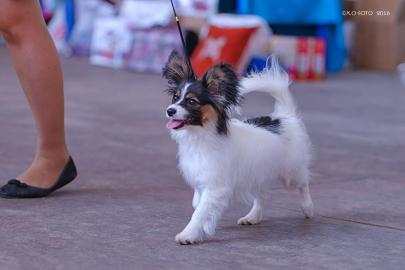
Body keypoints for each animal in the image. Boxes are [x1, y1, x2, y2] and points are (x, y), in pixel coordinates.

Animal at [161, 50, 312, 245]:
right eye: (175, 97)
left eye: (191, 101)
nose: (170, 110)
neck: (199, 136)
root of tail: (283, 116)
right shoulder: (202, 181)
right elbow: (198, 204)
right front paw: (207, 225)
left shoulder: (215, 187)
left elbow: (199, 212)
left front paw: (189, 234)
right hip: (257, 173)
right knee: (262, 196)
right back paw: (253, 217)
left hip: (290, 174)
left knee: (303, 183)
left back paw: (308, 208)